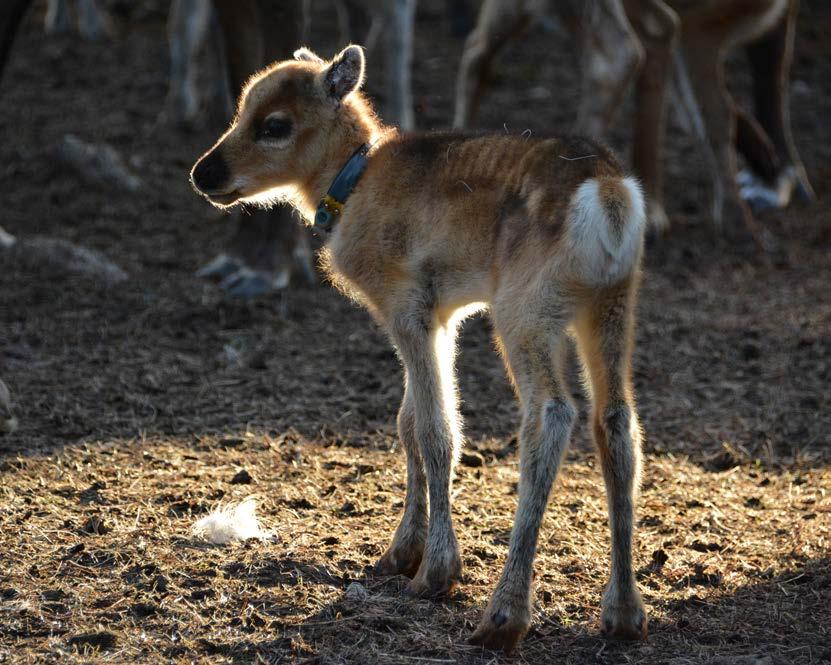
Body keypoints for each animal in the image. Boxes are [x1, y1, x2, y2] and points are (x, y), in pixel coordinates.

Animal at [193, 44, 648, 652]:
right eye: (242, 108)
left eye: (275, 124)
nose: (204, 172)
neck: (355, 182)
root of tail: (609, 195)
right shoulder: (442, 316)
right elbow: (407, 420)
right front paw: (399, 553)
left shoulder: (407, 304)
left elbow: (436, 429)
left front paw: (436, 571)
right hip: (610, 304)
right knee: (616, 420)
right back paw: (623, 612)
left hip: (526, 309)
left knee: (552, 413)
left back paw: (504, 616)